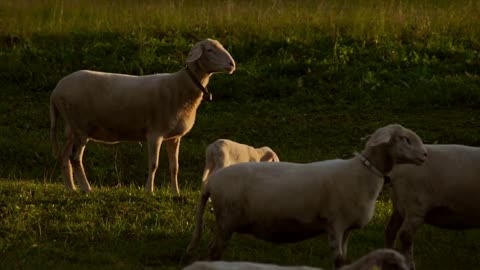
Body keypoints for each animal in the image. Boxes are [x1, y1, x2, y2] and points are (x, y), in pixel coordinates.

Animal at [49, 38, 236, 194]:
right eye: (210, 50)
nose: (232, 64)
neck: (180, 86)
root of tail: (56, 91)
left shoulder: (174, 137)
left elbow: (174, 166)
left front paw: (175, 193)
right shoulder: (155, 133)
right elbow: (154, 164)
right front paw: (149, 191)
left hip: (72, 128)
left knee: (65, 156)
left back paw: (71, 188)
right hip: (80, 127)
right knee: (75, 158)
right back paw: (86, 188)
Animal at [187, 124, 428, 268]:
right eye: (405, 139)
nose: (426, 155)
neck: (363, 173)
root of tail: (211, 183)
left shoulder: (347, 229)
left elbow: (345, 259)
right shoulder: (335, 223)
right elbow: (338, 260)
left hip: (224, 223)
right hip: (226, 221)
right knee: (213, 252)